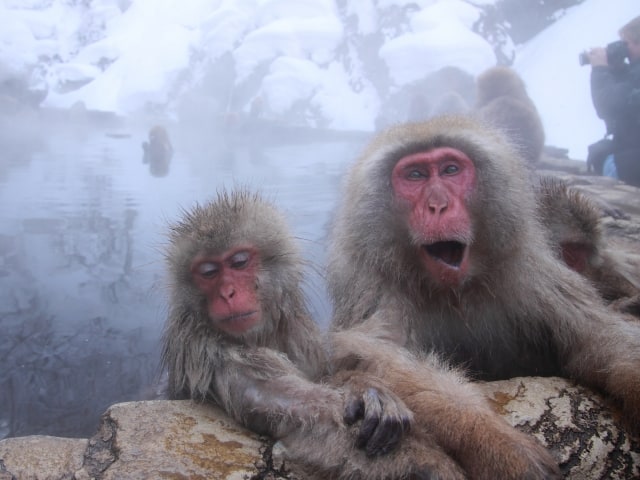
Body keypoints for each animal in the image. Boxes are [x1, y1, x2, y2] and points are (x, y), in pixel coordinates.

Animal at [161, 189, 468, 480]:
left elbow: (323, 375)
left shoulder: (299, 332)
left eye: (238, 262)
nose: (227, 293)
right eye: (208, 272)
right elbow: (282, 402)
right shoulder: (205, 348)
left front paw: (364, 387)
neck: (256, 335)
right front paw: (427, 462)